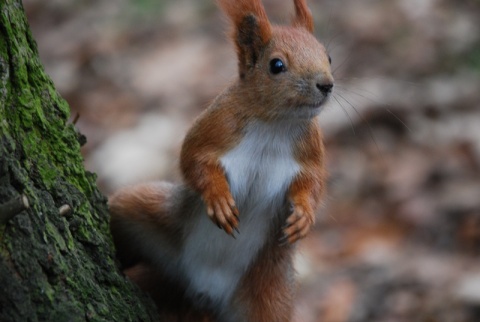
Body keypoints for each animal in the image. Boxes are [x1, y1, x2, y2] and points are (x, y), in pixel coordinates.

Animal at [109, 0, 334, 320]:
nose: (326, 84)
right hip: (143, 212)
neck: (275, 123)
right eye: (276, 65)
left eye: (328, 56)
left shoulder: (311, 148)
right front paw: (218, 197)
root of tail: (200, 291)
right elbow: (192, 159)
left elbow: (312, 183)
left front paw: (304, 214)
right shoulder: (217, 125)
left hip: (268, 297)